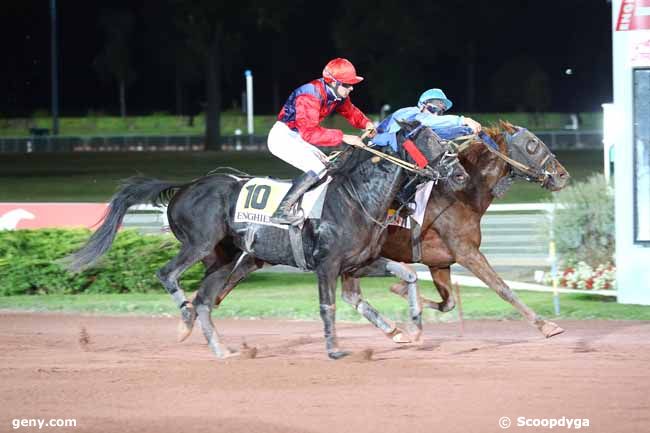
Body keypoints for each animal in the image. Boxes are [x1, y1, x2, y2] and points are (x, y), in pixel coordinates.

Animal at [64, 120, 466, 358]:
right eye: (429, 138)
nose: (460, 173)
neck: (356, 197)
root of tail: (186, 187)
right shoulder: (327, 265)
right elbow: (329, 306)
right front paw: (335, 350)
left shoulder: (357, 264)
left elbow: (404, 277)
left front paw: (408, 331)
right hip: (199, 244)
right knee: (169, 276)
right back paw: (185, 319)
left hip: (224, 259)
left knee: (205, 300)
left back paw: (221, 349)